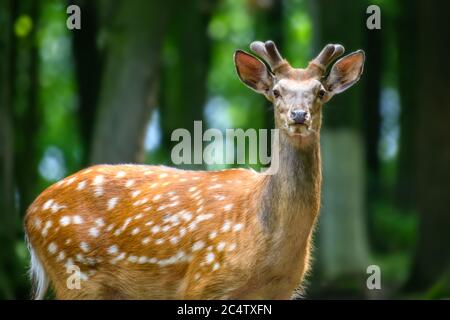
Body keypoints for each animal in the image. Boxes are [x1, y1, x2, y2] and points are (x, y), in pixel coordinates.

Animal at [22, 40, 364, 300]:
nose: (298, 115)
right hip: (73, 272)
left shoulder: (281, 291)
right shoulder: (203, 279)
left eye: (320, 91)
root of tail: (30, 215)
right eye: (277, 91)